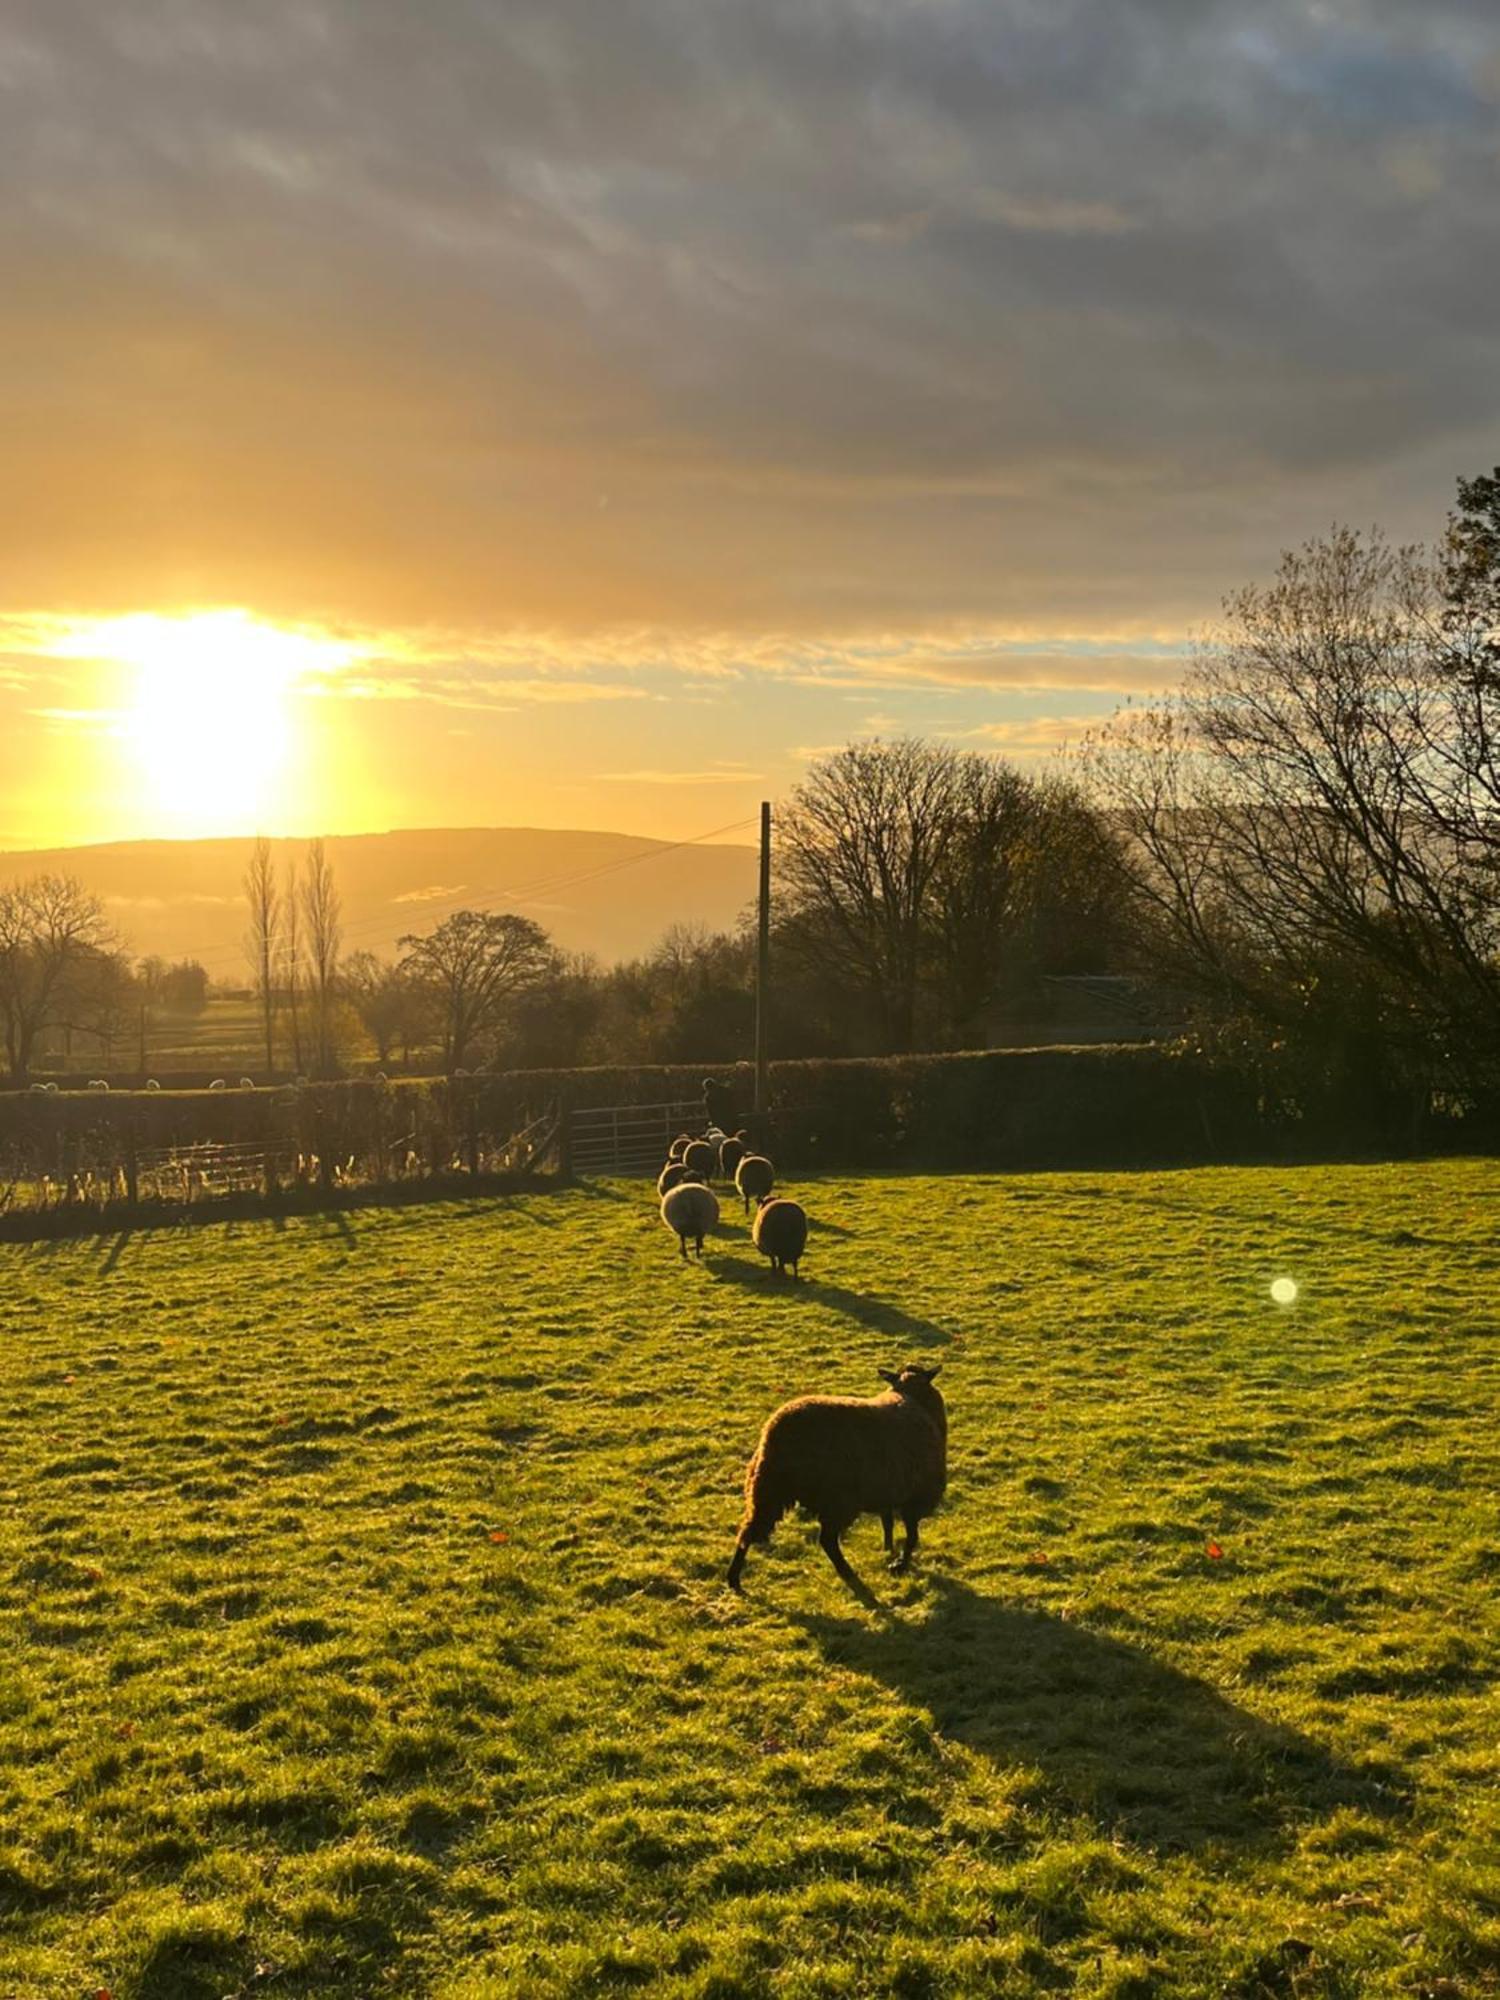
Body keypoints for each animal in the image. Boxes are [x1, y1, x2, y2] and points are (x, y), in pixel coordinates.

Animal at [732, 1360, 952, 1592]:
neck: (913, 1396)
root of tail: (776, 1432)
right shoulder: (916, 1497)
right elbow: (911, 1537)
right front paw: (900, 1564)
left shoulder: (887, 1491)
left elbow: (888, 1522)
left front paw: (888, 1549)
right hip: (836, 1499)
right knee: (827, 1540)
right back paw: (847, 1571)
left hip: (766, 1488)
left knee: (748, 1531)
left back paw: (733, 1579)